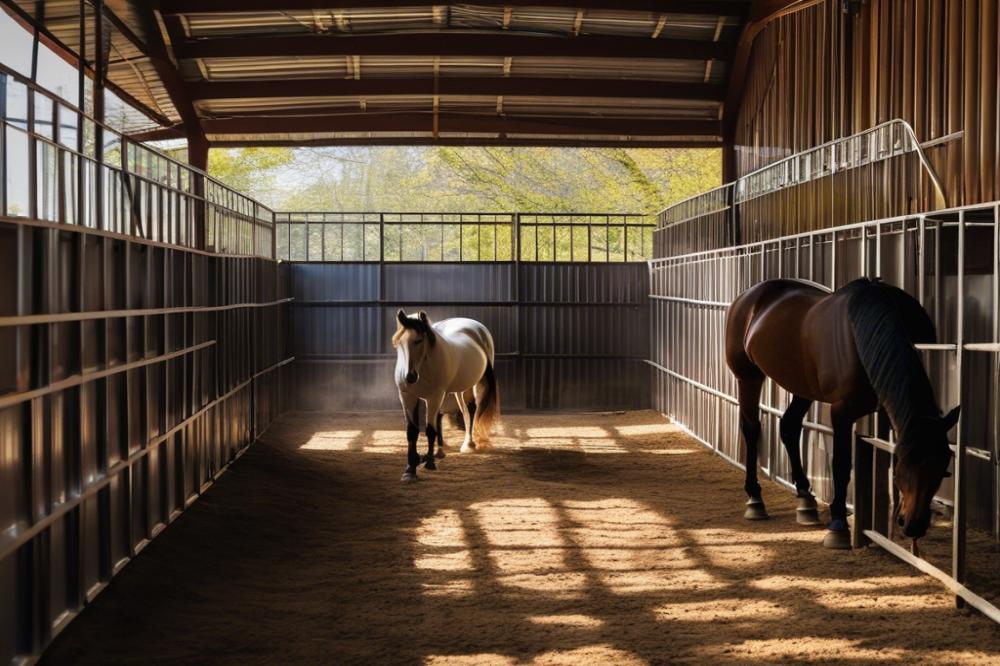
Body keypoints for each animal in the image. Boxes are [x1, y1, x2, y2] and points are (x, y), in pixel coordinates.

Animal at [390, 308, 500, 480]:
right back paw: (441, 451)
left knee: (471, 410)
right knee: (455, 412)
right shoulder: (407, 396)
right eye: (399, 343)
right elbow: (412, 431)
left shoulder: (434, 397)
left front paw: (429, 463)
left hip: (473, 384)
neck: (424, 366)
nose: (409, 377)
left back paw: (468, 445)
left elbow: (430, 430)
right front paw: (410, 469)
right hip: (458, 389)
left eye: (419, 340)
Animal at [728, 278, 960, 548]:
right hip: (748, 377)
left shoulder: (885, 411)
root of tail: (748, 295)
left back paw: (805, 499)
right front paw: (838, 523)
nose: (914, 524)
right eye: (906, 462)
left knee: (789, 427)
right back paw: (755, 499)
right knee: (751, 429)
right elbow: (840, 463)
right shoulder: (841, 413)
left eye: (943, 465)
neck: (864, 336)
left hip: (803, 387)